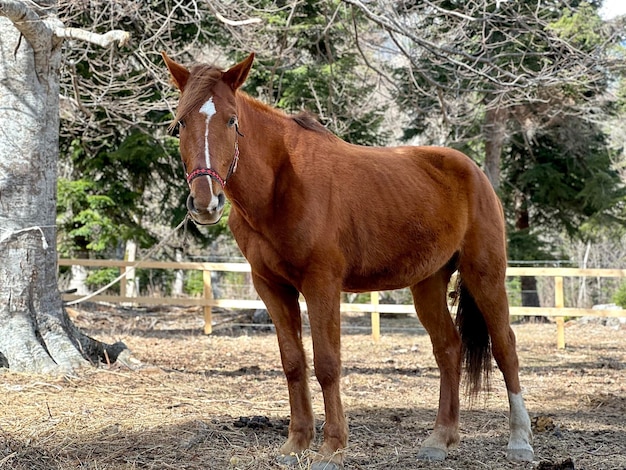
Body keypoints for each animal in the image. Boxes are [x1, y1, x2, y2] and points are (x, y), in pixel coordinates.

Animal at [161, 52, 532, 470]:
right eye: (180, 123)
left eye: (230, 120)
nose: (205, 201)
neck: (281, 184)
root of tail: (473, 172)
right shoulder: (271, 287)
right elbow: (293, 363)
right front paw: (296, 444)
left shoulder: (321, 284)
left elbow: (327, 364)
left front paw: (332, 448)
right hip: (428, 283)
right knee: (448, 350)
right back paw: (440, 439)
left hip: (485, 274)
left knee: (505, 348)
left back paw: (519, 440)